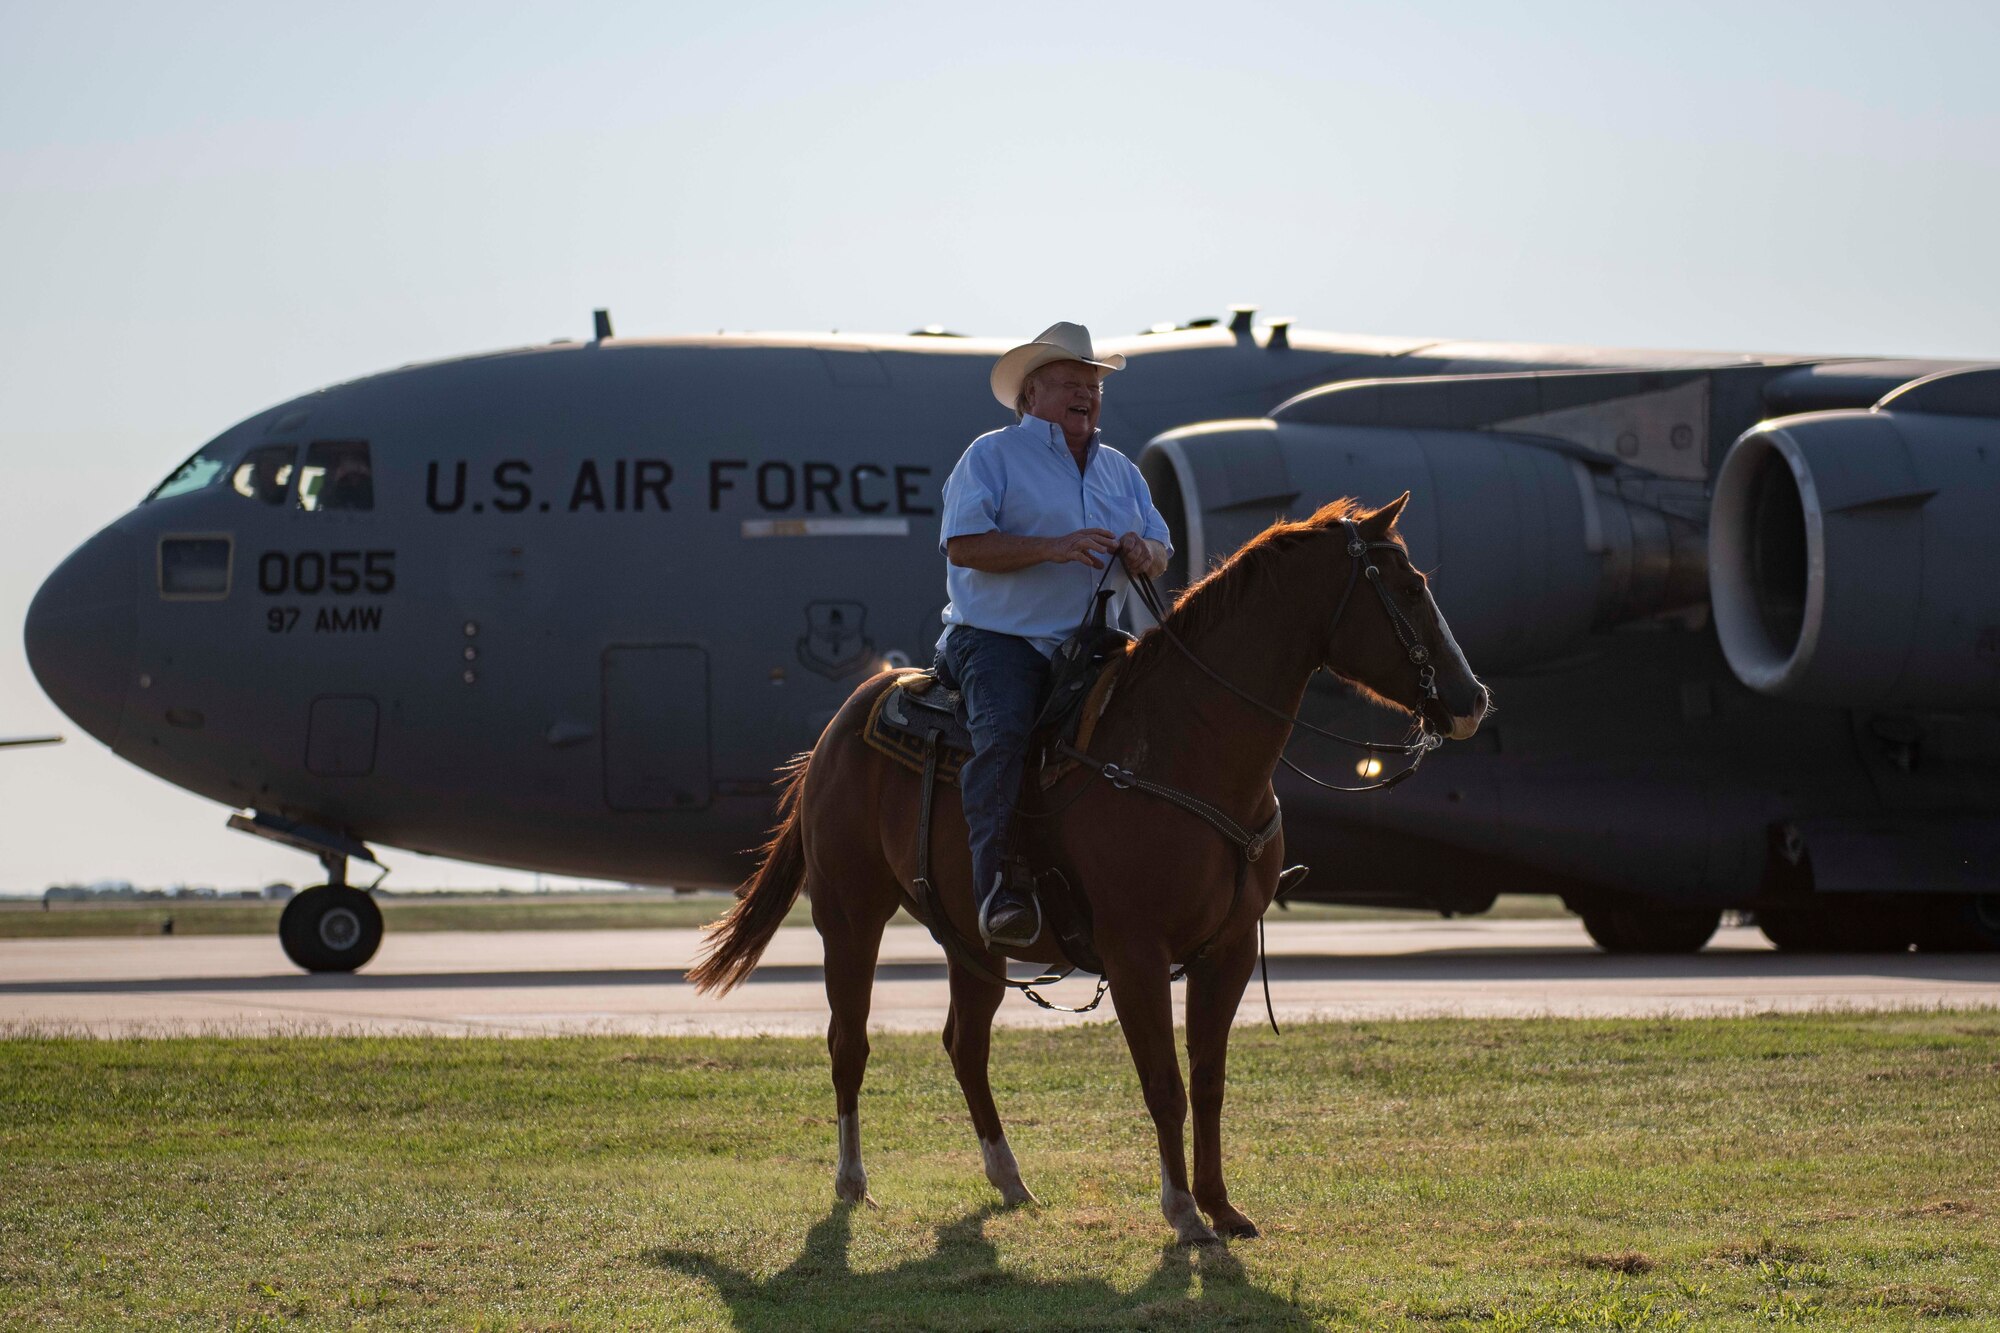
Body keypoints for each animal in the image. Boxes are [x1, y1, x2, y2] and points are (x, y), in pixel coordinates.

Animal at [688, 492, 1488, 1240]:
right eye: (1408, 586)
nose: (1471, 699)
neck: (1188, 748)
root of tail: (846, 718)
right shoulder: (1136, 952)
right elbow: (1163, 1081)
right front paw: (1182, 1214)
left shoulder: (1227, 950)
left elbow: (1209, 1078)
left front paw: (1221, 1206)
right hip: (850, 913)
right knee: (848, 1042)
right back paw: (853, 1181)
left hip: (971, 938)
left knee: (965, 1045)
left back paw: (1010, 1179)